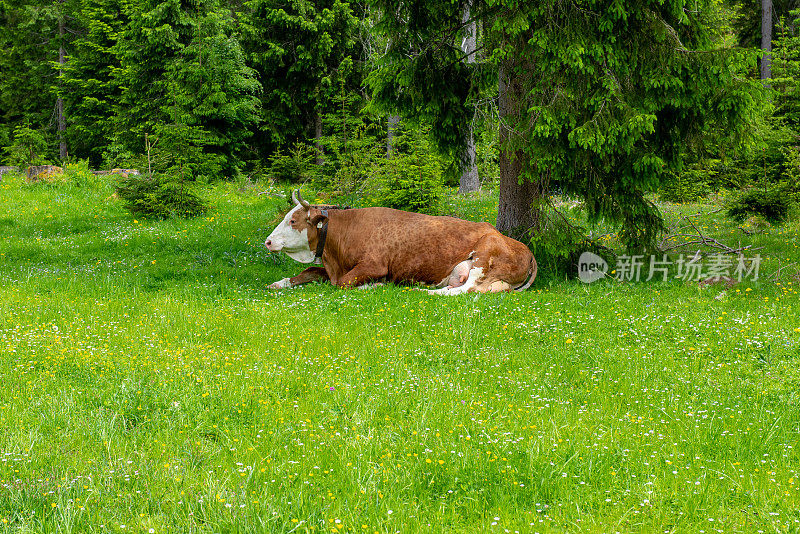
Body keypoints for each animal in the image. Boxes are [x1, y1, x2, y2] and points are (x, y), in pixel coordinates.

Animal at [264, 191, 536, 296]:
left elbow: (343, 283)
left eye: (293, 220)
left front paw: (375, 286)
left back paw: (422, 291)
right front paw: (279, 282)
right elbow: (309, 271)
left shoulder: (374, 266)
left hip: (484, 254)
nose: (267, 241)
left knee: (465, 290)